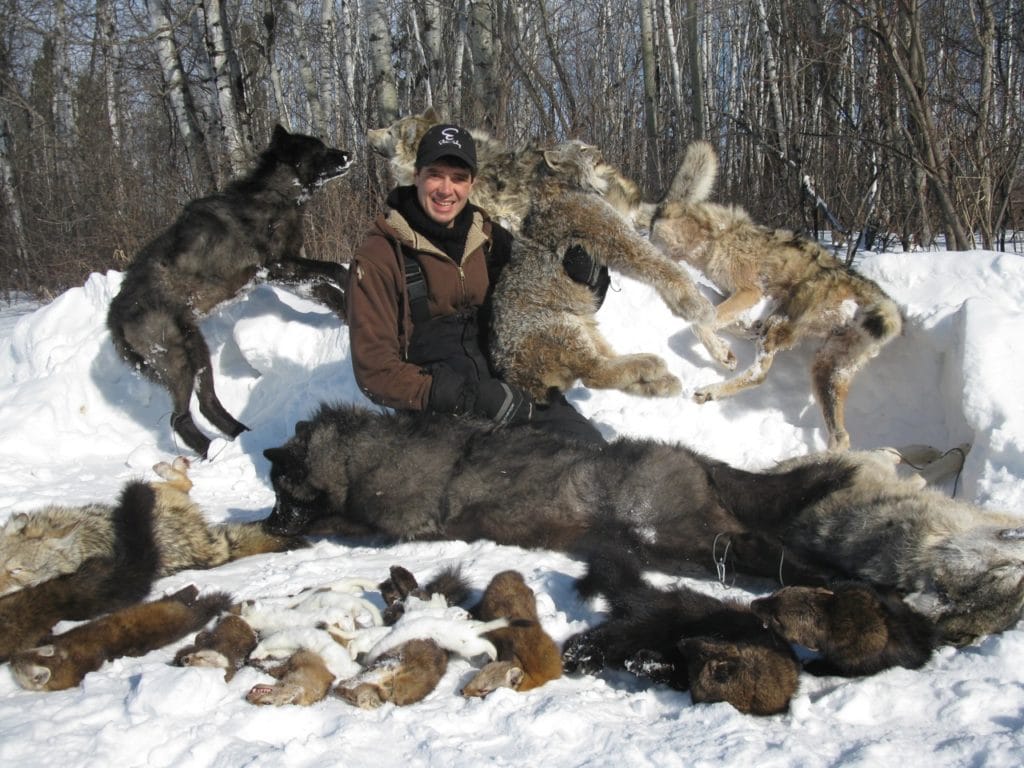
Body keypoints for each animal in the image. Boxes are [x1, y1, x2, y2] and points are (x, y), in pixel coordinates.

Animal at [0, 456, 303, 596]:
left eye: (17, 570)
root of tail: (214, 550)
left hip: (139, 493)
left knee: (183, 483)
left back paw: (170, 465)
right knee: (184, 485)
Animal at [107, 125, 353, 457]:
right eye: (319, 149)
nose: (349, 154)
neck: (276, 194)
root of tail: (114, 317)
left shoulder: (286, 272)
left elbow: (329, 292)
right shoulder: (278, 265)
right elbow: (336, 271)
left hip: (196, 352)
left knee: (207, 404)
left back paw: (240, 436)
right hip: (177, 361)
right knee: (179, 418)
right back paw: (210, 452)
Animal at [263, 405, 1024, 644]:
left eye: (280, 492)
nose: (269, 528)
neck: (357, 455)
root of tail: (690, 458)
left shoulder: (385, 525)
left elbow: (345, 523)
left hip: (688, 536)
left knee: (781, 553)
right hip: (696, 544)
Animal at [650, 141, 903, 450]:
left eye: (653, 234)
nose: (642, 247)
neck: (718, 236)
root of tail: (877, 298)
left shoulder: (749, 292)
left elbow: (701, 325)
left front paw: (723, 354)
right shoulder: (733, 296)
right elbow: (725, 321)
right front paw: (736, 338)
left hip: (783, 323)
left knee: (759, 375)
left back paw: (710, 391)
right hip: (824, 370)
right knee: (840, 435)